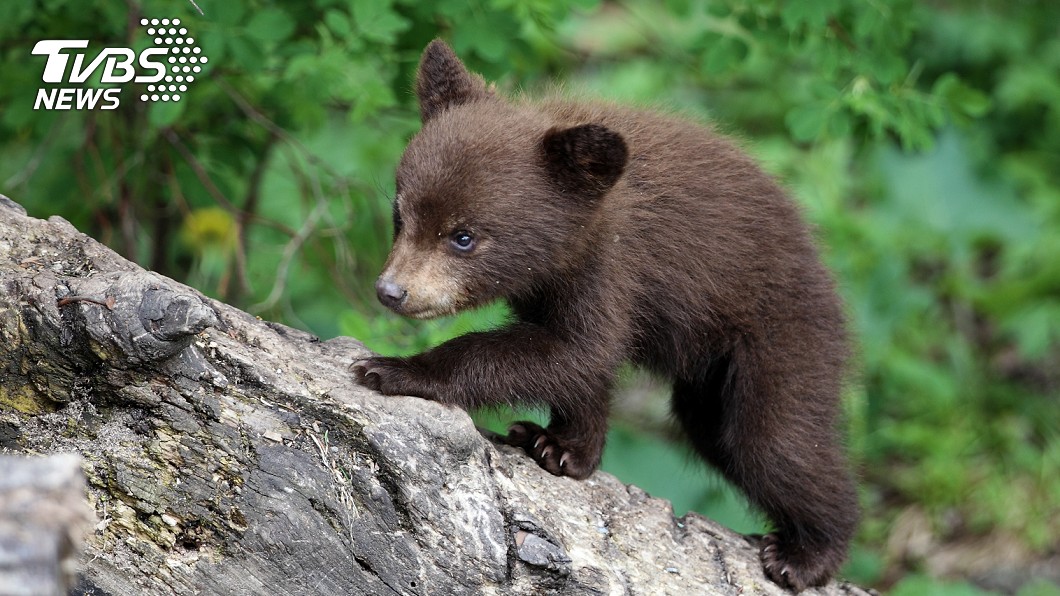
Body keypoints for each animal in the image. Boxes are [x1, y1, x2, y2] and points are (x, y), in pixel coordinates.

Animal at [353, 39, 859, 592]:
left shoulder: (614, 267)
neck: (566, 248)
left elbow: (577, 350)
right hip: (712, 378)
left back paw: (805, 555)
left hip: (781, 333)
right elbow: (579, 364)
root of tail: (826, 272)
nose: (391, 290)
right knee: (714, 431)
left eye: (463, 236)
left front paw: (393, 368)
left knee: (773, 442)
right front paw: (561, 446)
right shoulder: (555, 287)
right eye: (400, 213)